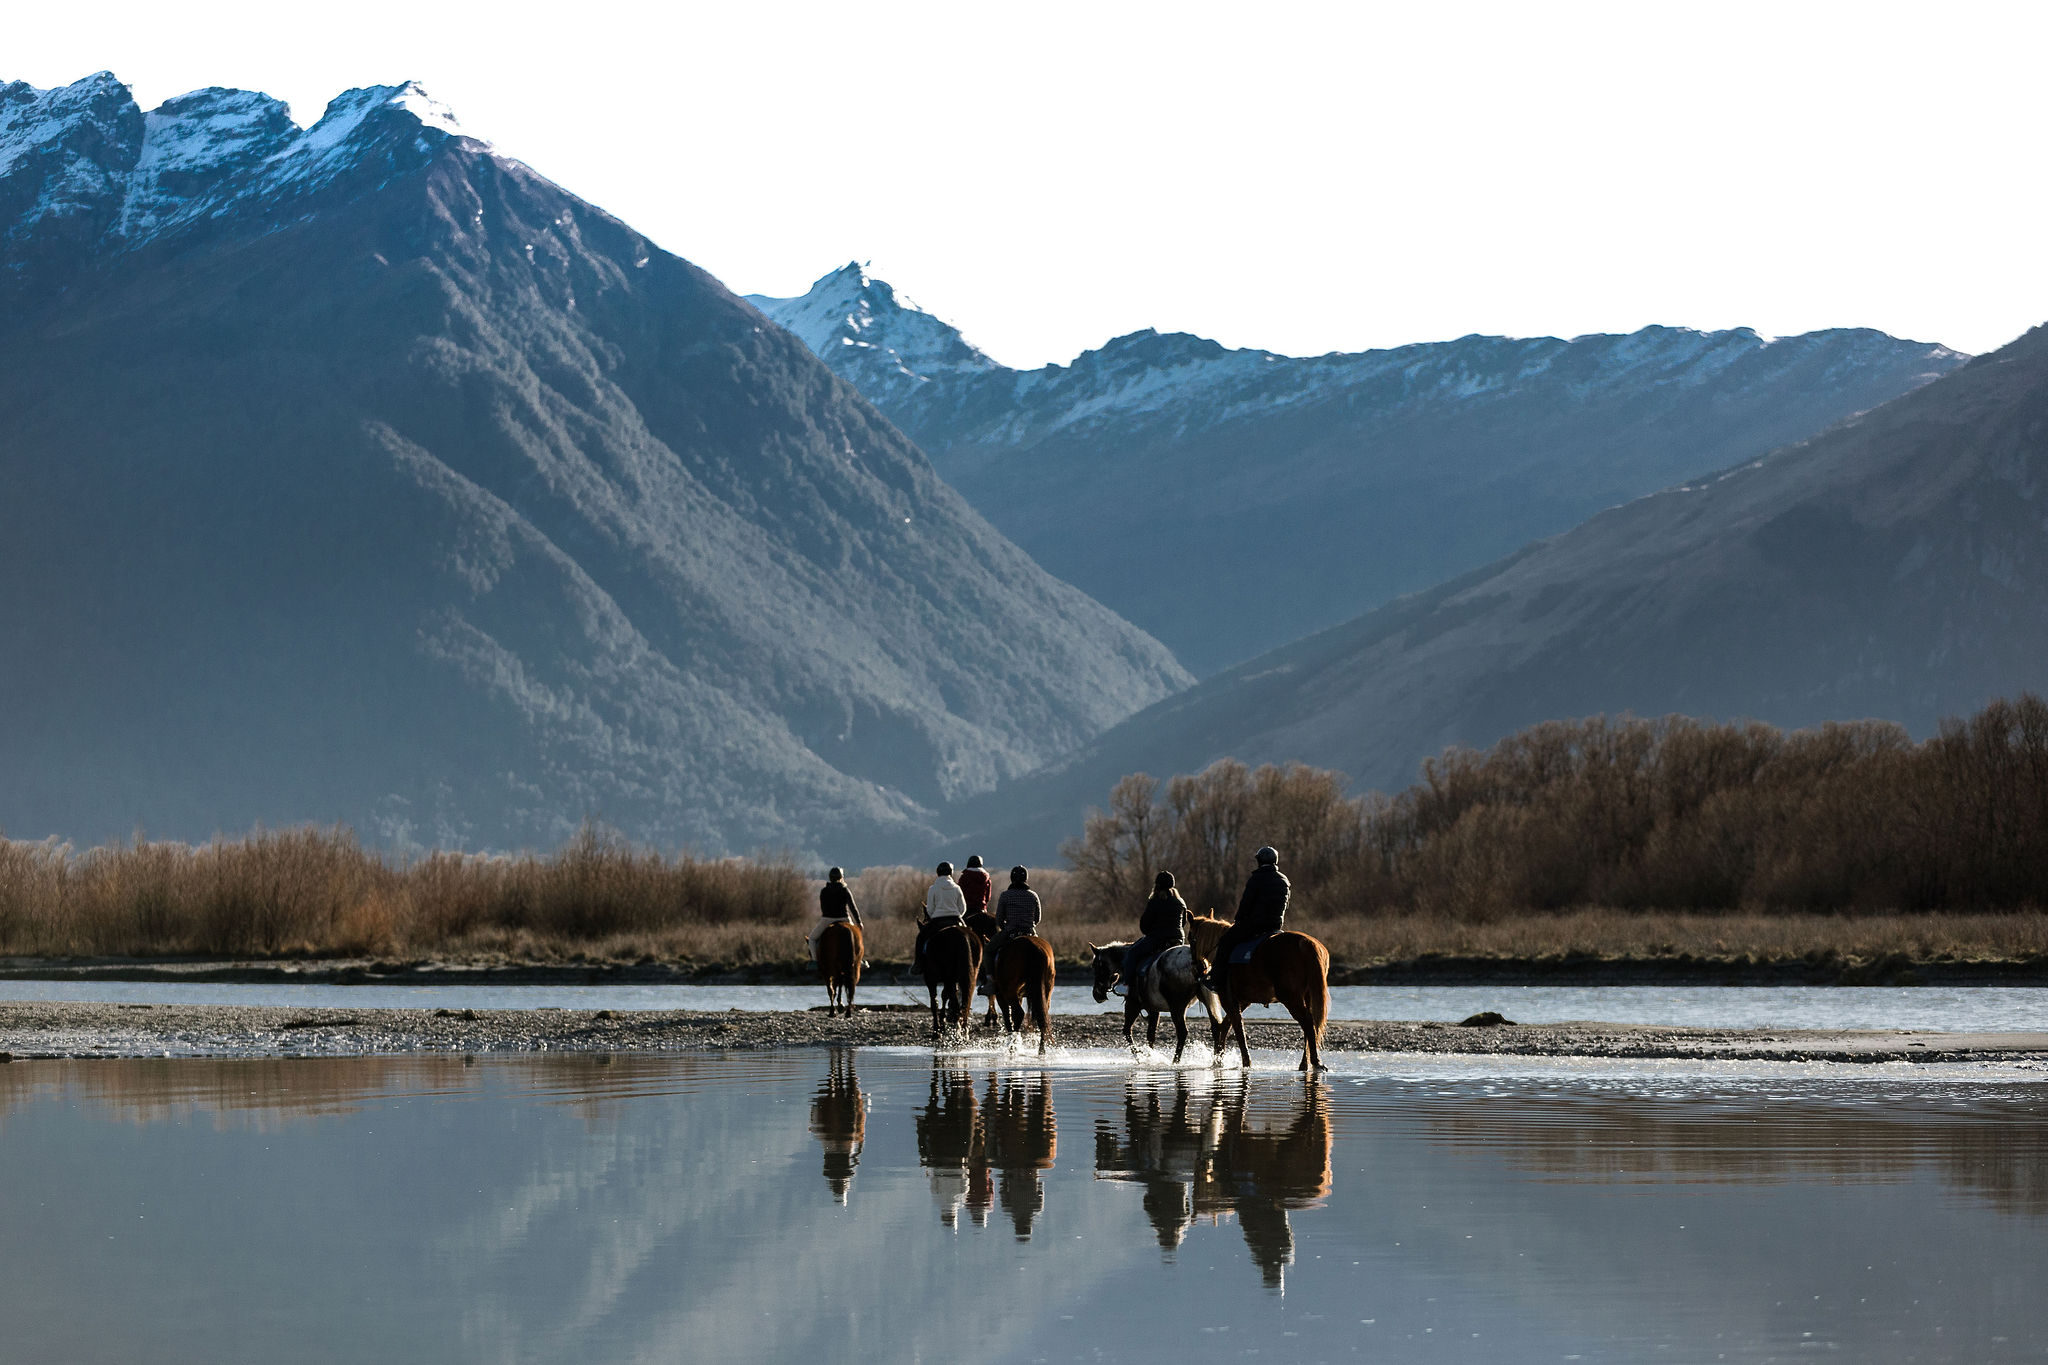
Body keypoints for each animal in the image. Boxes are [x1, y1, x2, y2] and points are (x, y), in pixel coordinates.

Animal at [1088, 940, 1222, 1064]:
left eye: (1095, 966)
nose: (1096, 994)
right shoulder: (1153, 1010)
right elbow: (1150, 1036)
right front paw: (1149, 1056)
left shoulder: (1132, 1005)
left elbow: (1127, 1031)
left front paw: (1139, 1056)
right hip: (1204, 1001)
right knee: (1215, 1027)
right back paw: (1217, 1060)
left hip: (1177, 1007)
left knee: (1182, 1032)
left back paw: (1175, 1061)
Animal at [1198, 929, 1331, 1072]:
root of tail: (1307, 943)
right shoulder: (1243, 1001)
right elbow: (1227, 1025)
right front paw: (1218, 1058)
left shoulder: (1228, 999)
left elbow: (1238, 1029)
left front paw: (1244, 1062)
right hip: (1306, 996)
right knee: (1310, 1024)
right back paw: (1305, 1064)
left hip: (1291, 998)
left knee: (1308, 1022)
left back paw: (1315, 1062)